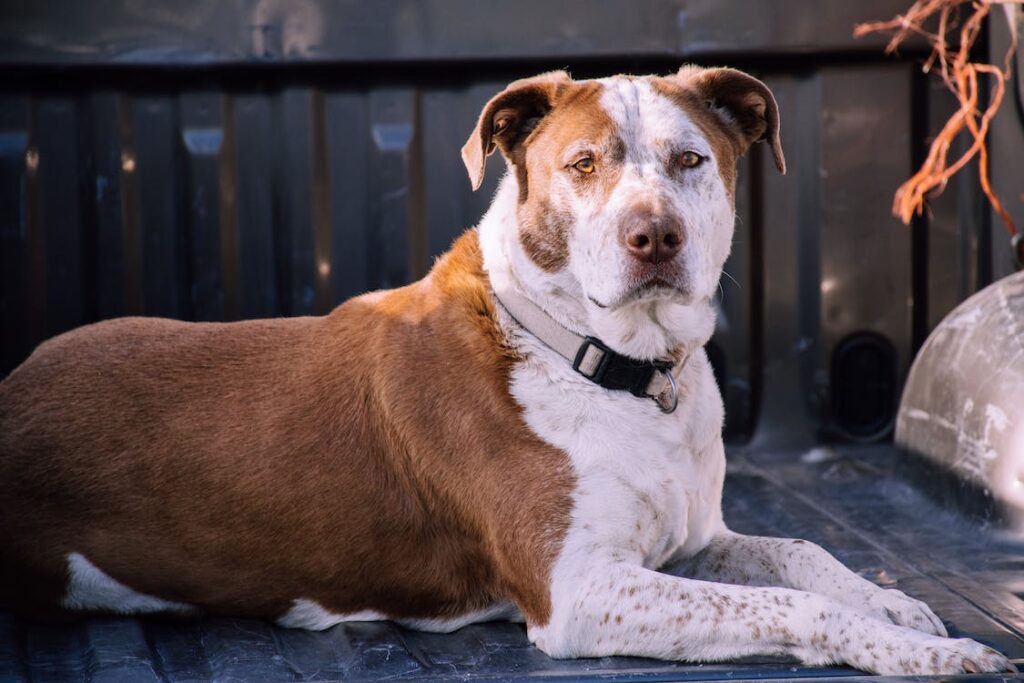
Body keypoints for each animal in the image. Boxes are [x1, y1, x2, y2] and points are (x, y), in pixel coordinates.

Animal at [0, 66, 1011, 675]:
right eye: (583, 163)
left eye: (690, 159)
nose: (653, 236)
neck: (613, 364)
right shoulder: (582, 591)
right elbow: (786, 607)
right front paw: (913, 651)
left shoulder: (690, 537)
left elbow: (803, 553)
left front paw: (897, 605)